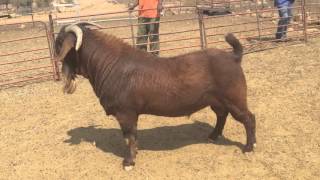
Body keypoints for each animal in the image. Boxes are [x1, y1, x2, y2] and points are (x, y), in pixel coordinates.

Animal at [54, 23, 255, 171]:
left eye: (59, 42)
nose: (57, 60)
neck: (111, 64)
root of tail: (233, 57)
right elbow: (132, 137)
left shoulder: (126, 113)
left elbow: (129, 137)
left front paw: (129, 162)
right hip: (217, 100)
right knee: (221, 115)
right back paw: (213, 136)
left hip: (235, 98)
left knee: (248, 118)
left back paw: (248, 147)